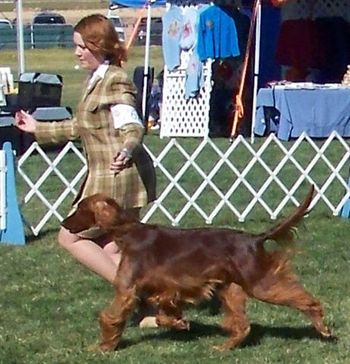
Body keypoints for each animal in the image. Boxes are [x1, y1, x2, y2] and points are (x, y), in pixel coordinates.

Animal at [63, 186, 334, 352]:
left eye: (80, 208)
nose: (63, 223)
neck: (128, 233)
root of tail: (254, 239)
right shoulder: (166, 291)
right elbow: (163, 315)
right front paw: (180, 324)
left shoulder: (126, 291)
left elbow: (109, 317)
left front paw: (103, 347)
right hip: (230, 289)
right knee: (242, 325)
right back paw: (223, 348)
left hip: (259, 283)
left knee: (307, 301)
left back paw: (323, 328)